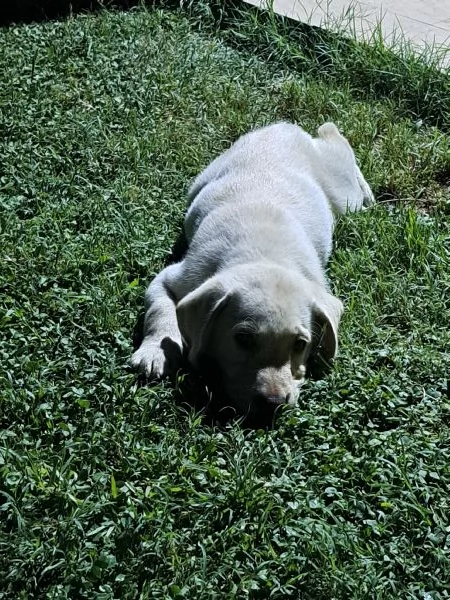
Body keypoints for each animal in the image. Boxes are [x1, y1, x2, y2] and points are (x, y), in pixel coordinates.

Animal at [130, 122, 372, 418]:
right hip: (201, 180)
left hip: (343, 197)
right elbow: (159, 311)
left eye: (300, 344)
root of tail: (284, 127)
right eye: (243, 339)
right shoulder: (173, 277)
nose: (273, 405)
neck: (264, 256)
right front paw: (155, 352)